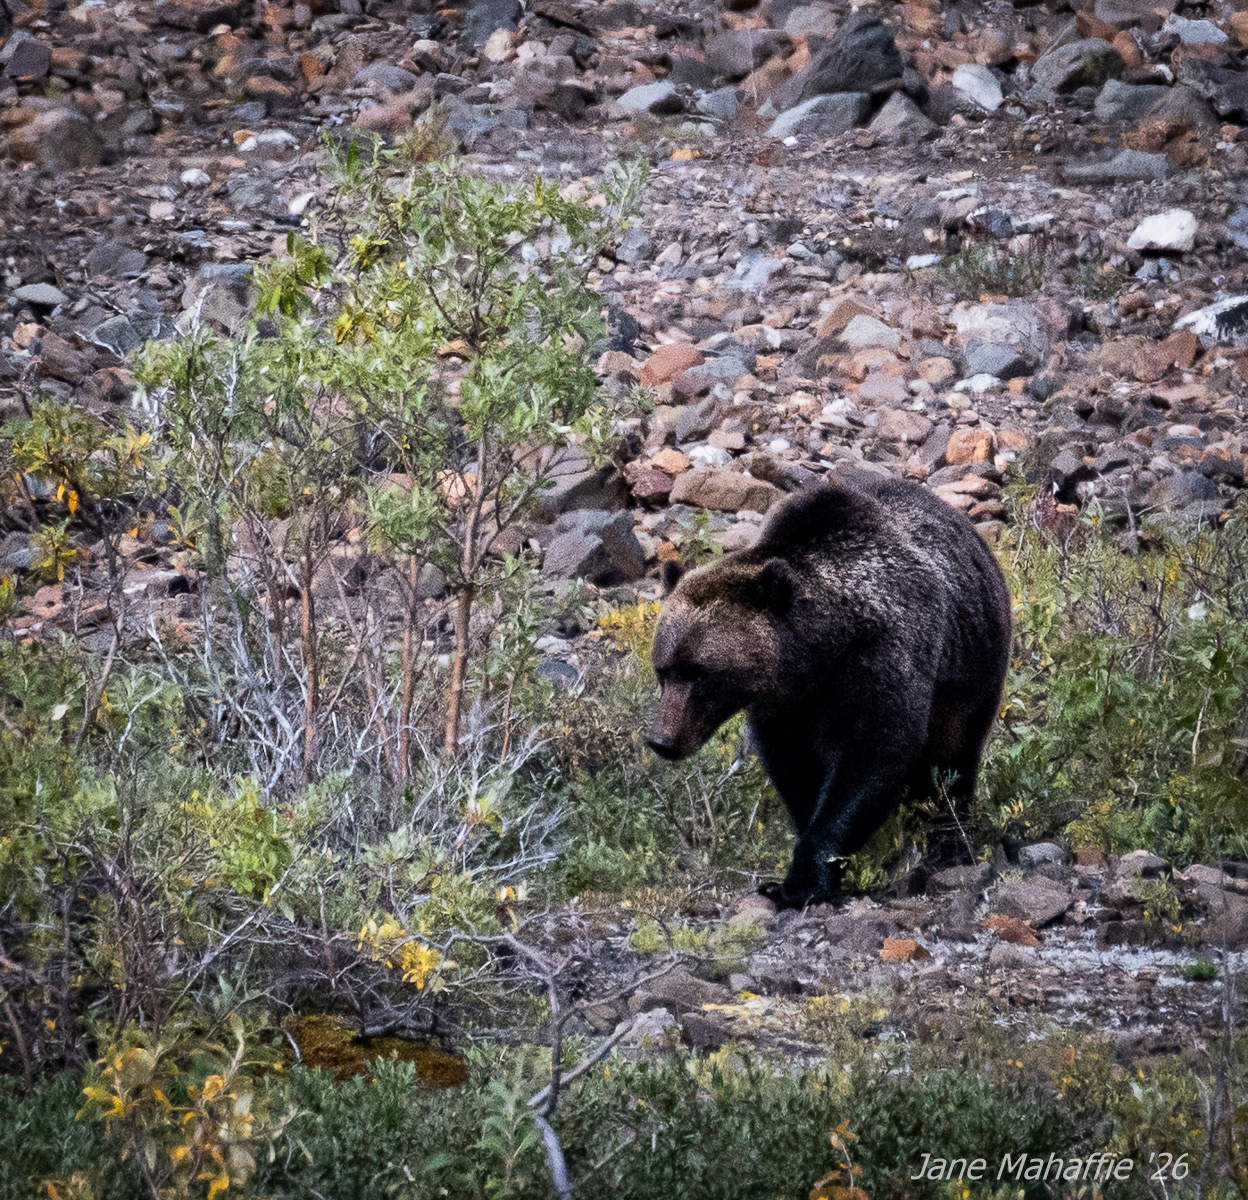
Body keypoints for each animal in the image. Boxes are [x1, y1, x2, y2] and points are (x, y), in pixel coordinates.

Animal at [647, 475, 1012, 908]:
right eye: (663, 670)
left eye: (700, 674)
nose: (663, 741)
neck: (823, 649)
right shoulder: (785, 704)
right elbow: (795, 768)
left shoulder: (881, 655)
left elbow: (871, 753)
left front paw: (802, 881)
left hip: (972, 672)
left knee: (953, 762)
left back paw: (948, 844)